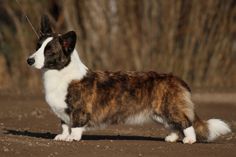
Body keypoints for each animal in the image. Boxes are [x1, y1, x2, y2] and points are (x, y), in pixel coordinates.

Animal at [27, 15, 230, 144]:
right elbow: (64, 125)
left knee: (186, 123)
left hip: (170, 108)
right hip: (158, 113)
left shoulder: (79, 110)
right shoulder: (62, 113)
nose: (29, 60)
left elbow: (75, 125)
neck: (60, 73)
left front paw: (72, 138)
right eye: (37, 47)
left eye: (49, 51)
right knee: (174, 126)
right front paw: (63, 136)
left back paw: (189, 140)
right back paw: (172, 138)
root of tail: (177, 79)